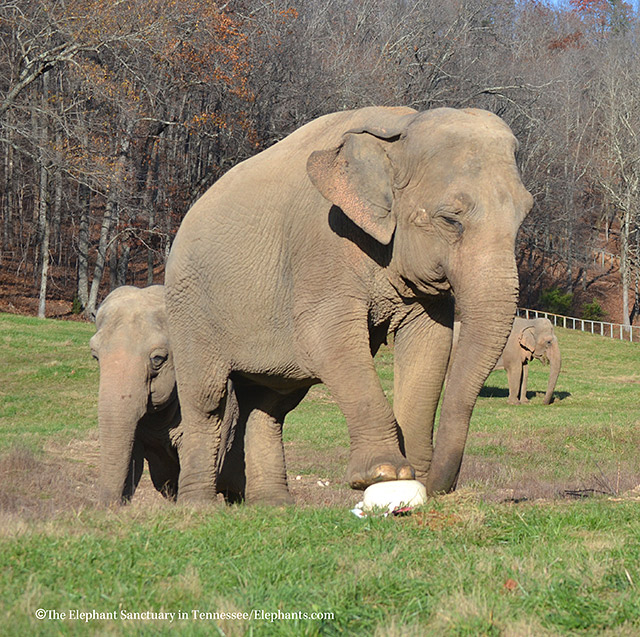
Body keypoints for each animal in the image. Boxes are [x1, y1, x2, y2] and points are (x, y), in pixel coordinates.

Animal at [164, 104, 528, 504]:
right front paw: (385, 473)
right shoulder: (322, 241)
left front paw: (414, 473)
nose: (436, 487)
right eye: (450, 219)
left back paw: (273, 505)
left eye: (524, 215)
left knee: (269, 403)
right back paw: (199, 505)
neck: (400, 126)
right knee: (207, 400)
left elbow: (429, 343)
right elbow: (327, 337)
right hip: (190, 304)